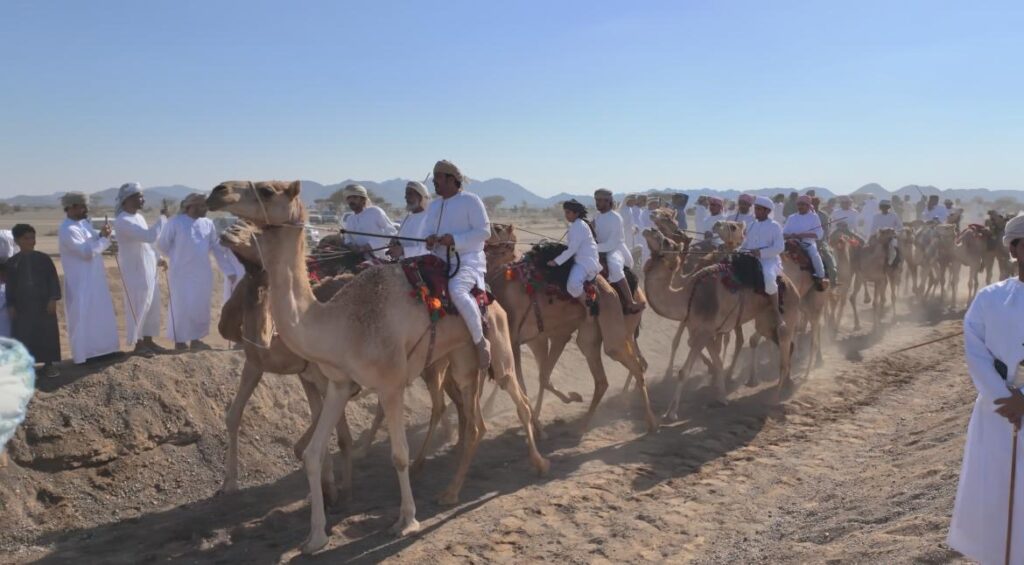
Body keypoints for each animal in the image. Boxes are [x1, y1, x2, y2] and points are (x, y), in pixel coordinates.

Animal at [206, 180, 548, 554]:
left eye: (268, 190)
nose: (217, 192)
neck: (339, 323)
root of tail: (489, 296)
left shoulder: (390, 384)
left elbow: (398, 454)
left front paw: (406, 521)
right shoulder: (338, 384)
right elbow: (313, 453)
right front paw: (315, 537)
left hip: (498, 347)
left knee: (519, 400)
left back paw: (539, 463)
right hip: (462, 361)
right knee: (474, 423)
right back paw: (451, 492)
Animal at [484, 224, 657, 434]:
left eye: (497, 228)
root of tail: (636, 294)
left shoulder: (528, 338)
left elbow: (531, 381)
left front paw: (539, 425)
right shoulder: (540, 337)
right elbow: (541, 377)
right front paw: (543, 418)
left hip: (615, 330)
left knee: (633, 363)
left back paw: (649, 420)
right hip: (595, 335)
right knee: (607, 376)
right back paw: (586, 423)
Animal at [641, 229, 798, 420]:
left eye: (668, 242)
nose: (650, 230)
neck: (688, 298)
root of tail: (793, 287)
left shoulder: (703, 332)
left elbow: (684, 372)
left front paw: (671, 413)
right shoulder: (705, 332)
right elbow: (717, 364)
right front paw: (721, 398)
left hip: (787, 314)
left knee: (783, 349)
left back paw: (773, 400)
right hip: (765, 322)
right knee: (786, 346)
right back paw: (787, 383)